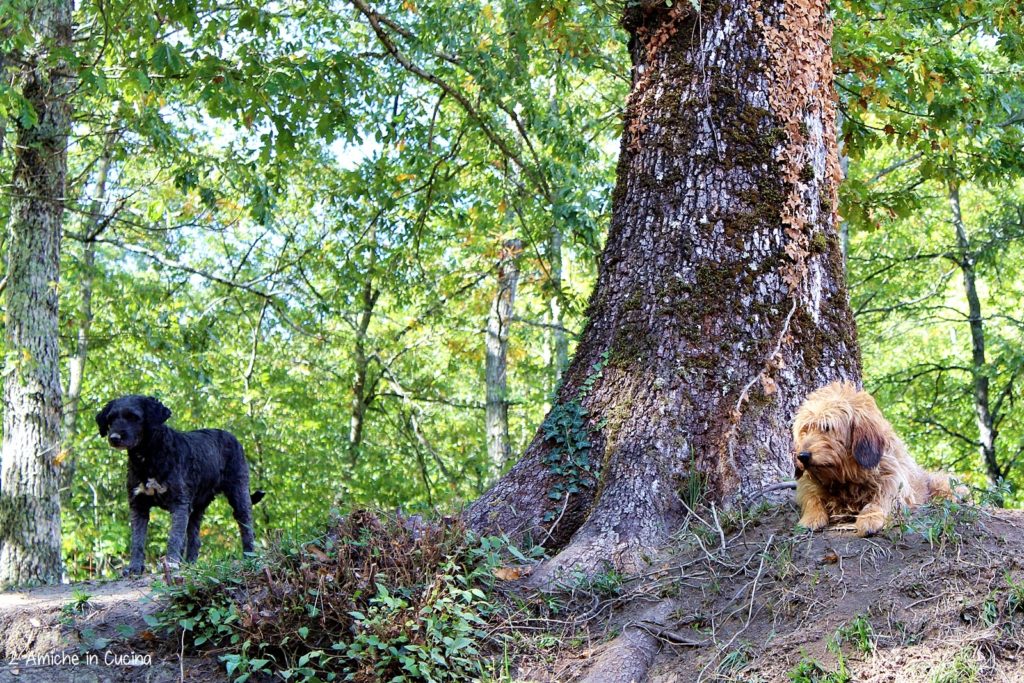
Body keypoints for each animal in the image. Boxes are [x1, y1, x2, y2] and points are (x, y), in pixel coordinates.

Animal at [96, 393, 266, 573]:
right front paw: (135, 567)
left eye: (133, 417)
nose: (114, 438)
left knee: (246, 526)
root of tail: (232, 437)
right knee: (195, 538)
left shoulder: (179, 503)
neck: (148, 457)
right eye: (111, 418)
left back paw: (249, 555)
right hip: (197, 506)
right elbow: (137, 540)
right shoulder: (139, 505)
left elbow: (174, 537)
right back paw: (190, 564)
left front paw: (171, 562)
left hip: (238, 492)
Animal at [790, 382, 958, 536]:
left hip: (940, 482)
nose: (802, 456)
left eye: (827, 427)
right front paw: (811, 518)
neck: (846, 479)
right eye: (804, 431)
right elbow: (812, 499)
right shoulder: (807, 484)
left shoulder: (894, 481)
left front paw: (869, 518)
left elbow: (880, 499)